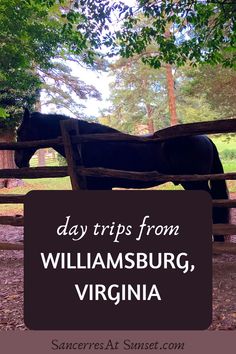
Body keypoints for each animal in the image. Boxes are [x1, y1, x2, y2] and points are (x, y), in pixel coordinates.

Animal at [14, 108, 229, 241]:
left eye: (21, 131)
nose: (18, 161)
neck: (83, 143)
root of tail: (205, 138)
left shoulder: (99, 186)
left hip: (195, 183)